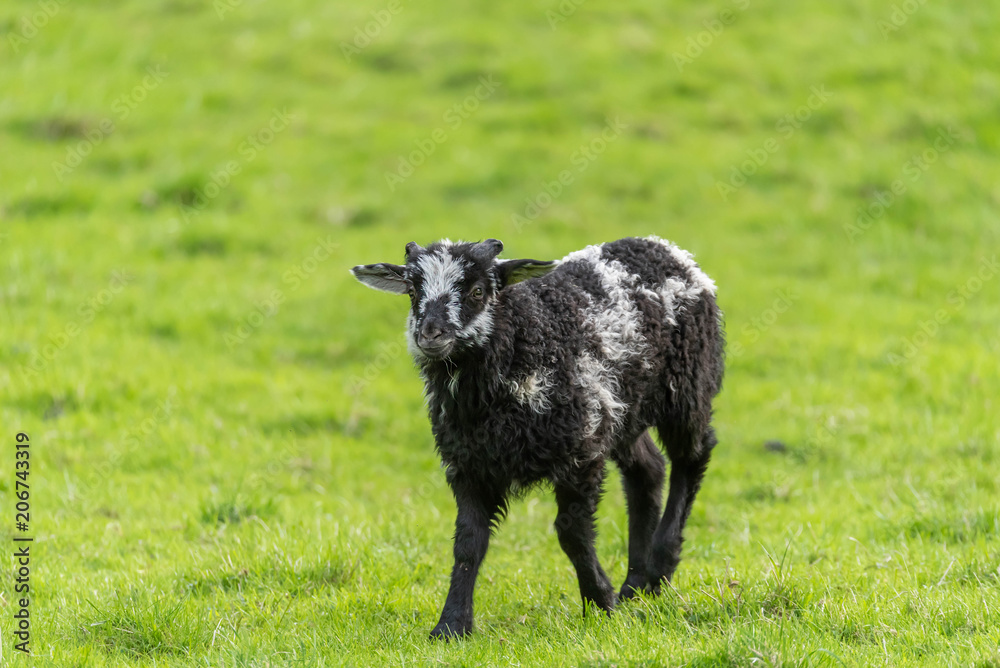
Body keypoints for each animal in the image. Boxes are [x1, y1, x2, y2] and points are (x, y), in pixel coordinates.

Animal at [351, 236, 724, 639]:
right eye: (413, 290)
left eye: (478, 291)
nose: (430, 335)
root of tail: (662, 247)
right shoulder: (468, 464)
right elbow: (468, 542)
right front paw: (451, 625)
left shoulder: (580, 450)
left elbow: (572, 534)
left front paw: (600, 602)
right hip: (622, 409)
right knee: (648, 471)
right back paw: (637, 585)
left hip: (686, 384)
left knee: (693, 457)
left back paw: (659, 566)